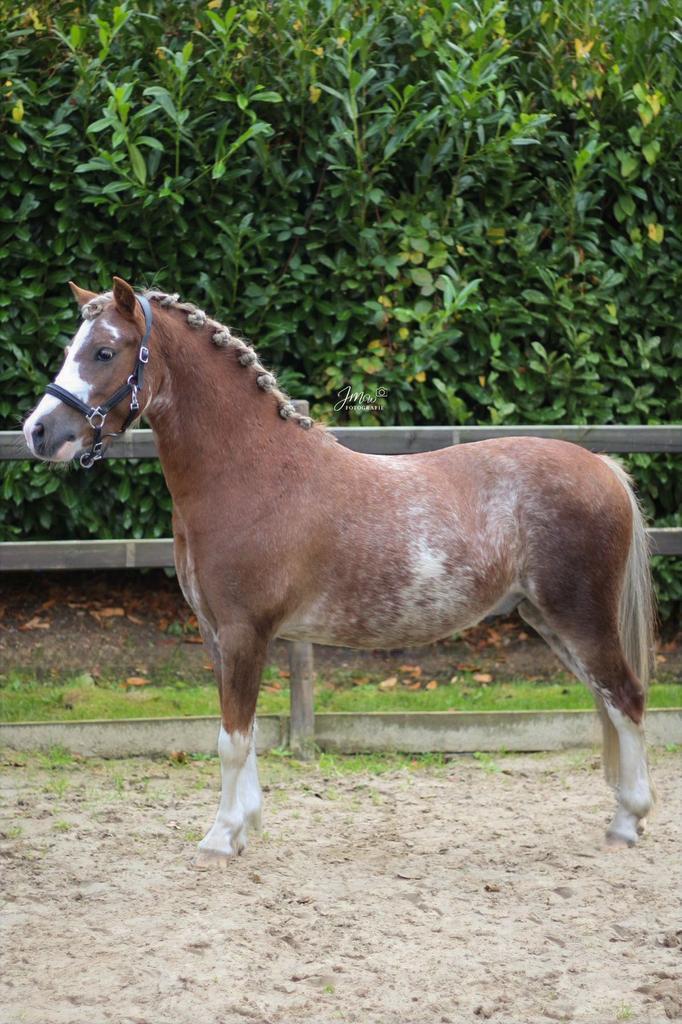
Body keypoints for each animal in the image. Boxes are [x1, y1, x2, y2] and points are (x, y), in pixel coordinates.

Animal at [23, 276, 656, 861]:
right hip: (547, 620)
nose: (38, 432)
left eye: (105, 351)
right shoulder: (218, 634)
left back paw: (628, 822)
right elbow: (243, 730)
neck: (251, 472)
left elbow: (232, 739)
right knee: (608, 700)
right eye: (72, 346)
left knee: (626, 697)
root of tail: (601, 466)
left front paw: (221, 837)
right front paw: (245, 826)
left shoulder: (244, 631)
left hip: (580, 617)